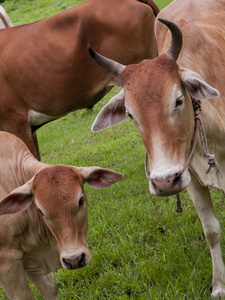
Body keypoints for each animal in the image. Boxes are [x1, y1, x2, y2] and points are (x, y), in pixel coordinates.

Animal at [0, 132, 124, 298]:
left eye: (80, 200)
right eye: (40, 210)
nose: (74, 259)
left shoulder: (32, 258)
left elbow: (49, 288)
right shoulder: (7, 262)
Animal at [88, 0, 225, 296]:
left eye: (178, 100)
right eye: (130, 115)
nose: (163, 182)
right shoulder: (190, 176)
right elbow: (211, 230)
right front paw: (219, 286)